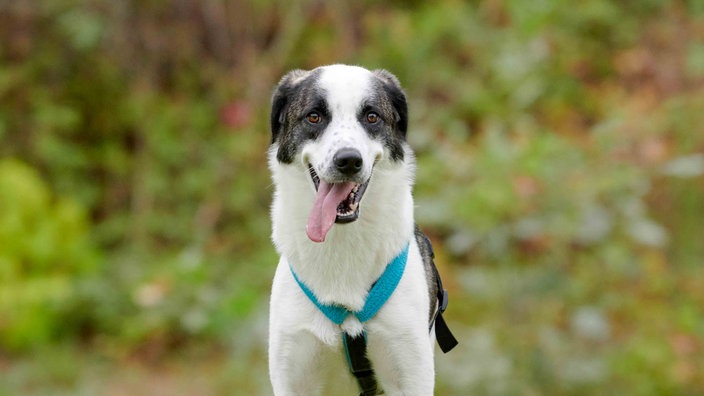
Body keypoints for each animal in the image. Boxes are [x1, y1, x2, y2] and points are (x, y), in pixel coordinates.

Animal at [268, 63, 456, 394]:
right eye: (313, 116)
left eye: (371, 117)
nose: (348, 160)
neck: (342, 241)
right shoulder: (291, 375)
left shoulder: (411, 370)